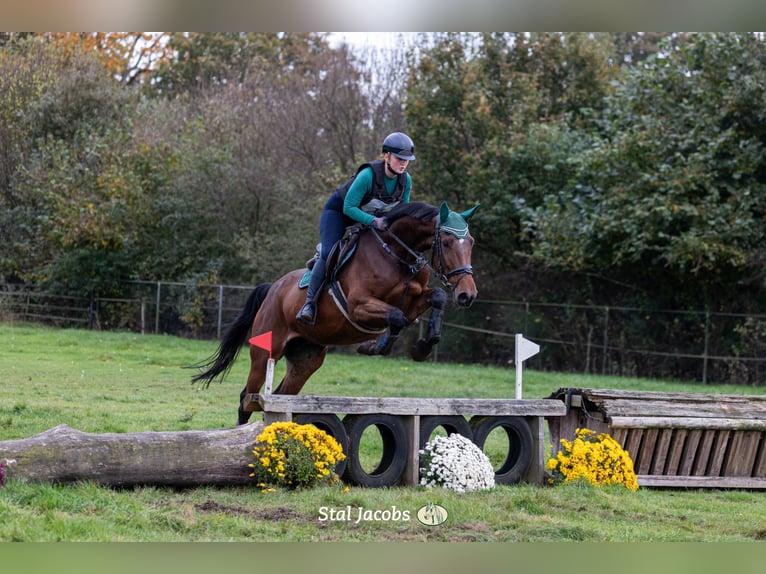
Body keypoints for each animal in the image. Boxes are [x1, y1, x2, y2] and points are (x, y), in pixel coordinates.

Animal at [192, 200, 480, 426]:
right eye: (446, 242)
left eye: (471, 242)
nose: (468, 294)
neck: (397, 254)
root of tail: (273, 288)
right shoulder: (358, 306)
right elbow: (396, 316)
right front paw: (375, 346)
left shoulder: (413, 301)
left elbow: (435, 299)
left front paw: (423, 347)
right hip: (265, 351)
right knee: (247, 398)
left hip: (306, 358)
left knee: (282, 395)